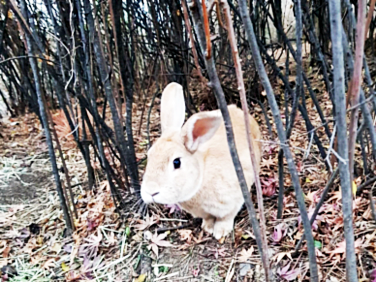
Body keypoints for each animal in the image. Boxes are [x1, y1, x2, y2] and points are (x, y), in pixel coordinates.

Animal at [140, 82, 262, 240]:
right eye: (149, 156)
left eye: (176, 162)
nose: (150, 192)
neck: (203, 175)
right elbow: (208, 218)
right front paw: (207, 228)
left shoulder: (235, 199)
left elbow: (226, 217)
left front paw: (220, 232)